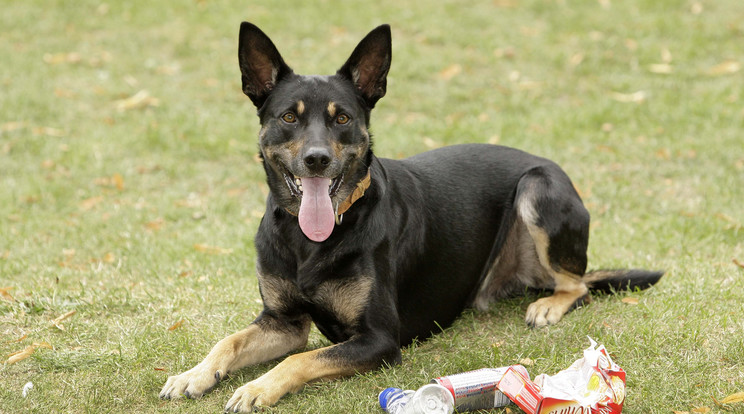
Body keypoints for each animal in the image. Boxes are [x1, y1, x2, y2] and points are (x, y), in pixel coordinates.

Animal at [161, 23, 664, 414]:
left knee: (577, 284)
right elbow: (229, 340)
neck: (313, 239)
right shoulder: (282, 322)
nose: (317, 160)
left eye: (342, 118)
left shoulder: (380, 339)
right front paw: (195, 374)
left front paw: (257, 388)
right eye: (288, 117)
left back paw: (548, 304)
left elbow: (300, 360)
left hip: (539, 188)